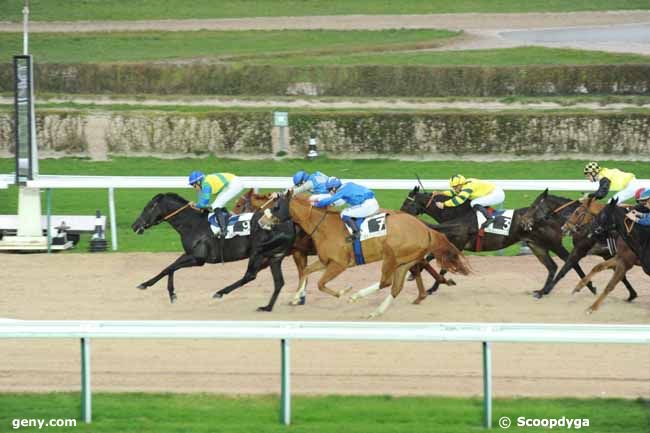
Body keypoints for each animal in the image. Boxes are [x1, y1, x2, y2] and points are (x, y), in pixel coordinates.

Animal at [132, 192, 294, 310]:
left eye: (148, 207)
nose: (135, 226)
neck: (192, 224)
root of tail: (289, 225)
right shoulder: (190, 254)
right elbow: (169, 268)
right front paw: (168, 293)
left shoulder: (198, 258)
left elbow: (169, 268)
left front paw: (150, 286)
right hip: (274, 257)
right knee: (278, 282)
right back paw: (267, 307)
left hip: (258, 252)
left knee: (250, 275)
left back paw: (220, 292)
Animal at [260, 193, 468, 318]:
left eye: (276, 206)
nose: (261, 221)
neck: (324, 226)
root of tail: (425, 228)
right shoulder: (325, 260)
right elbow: (305, 271)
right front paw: (296, 298)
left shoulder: (339, 264)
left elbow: (320, 283)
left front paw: (344, 291)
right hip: (405, 261)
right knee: (395, 287)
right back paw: (377, 311)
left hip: (391, 255)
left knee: (386, 282)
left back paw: (357, 296)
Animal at [398, 187, 596, 296]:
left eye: (407, 203)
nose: (399, 214)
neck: (457, 214)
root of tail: (552, 215)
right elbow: (431, 257)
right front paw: (414, 274)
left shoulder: (458, 243)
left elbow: (443, 265)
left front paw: (431, 287)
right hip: (536, 245)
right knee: (553, 266)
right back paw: (542, 291)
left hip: (554, 244)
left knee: (571, 261)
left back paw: (590, 287)